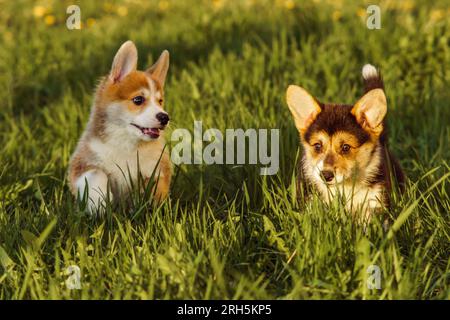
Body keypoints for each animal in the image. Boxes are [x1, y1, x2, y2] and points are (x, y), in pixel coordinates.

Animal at [67, 40, 171, 215]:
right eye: (138, 100)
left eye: (160, 101)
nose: (165, 117)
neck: (126, 146)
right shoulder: (81, 163)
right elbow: (97, 174)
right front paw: (99, 205)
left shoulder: (158, 168)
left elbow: (155, 184)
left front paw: (149, 205)